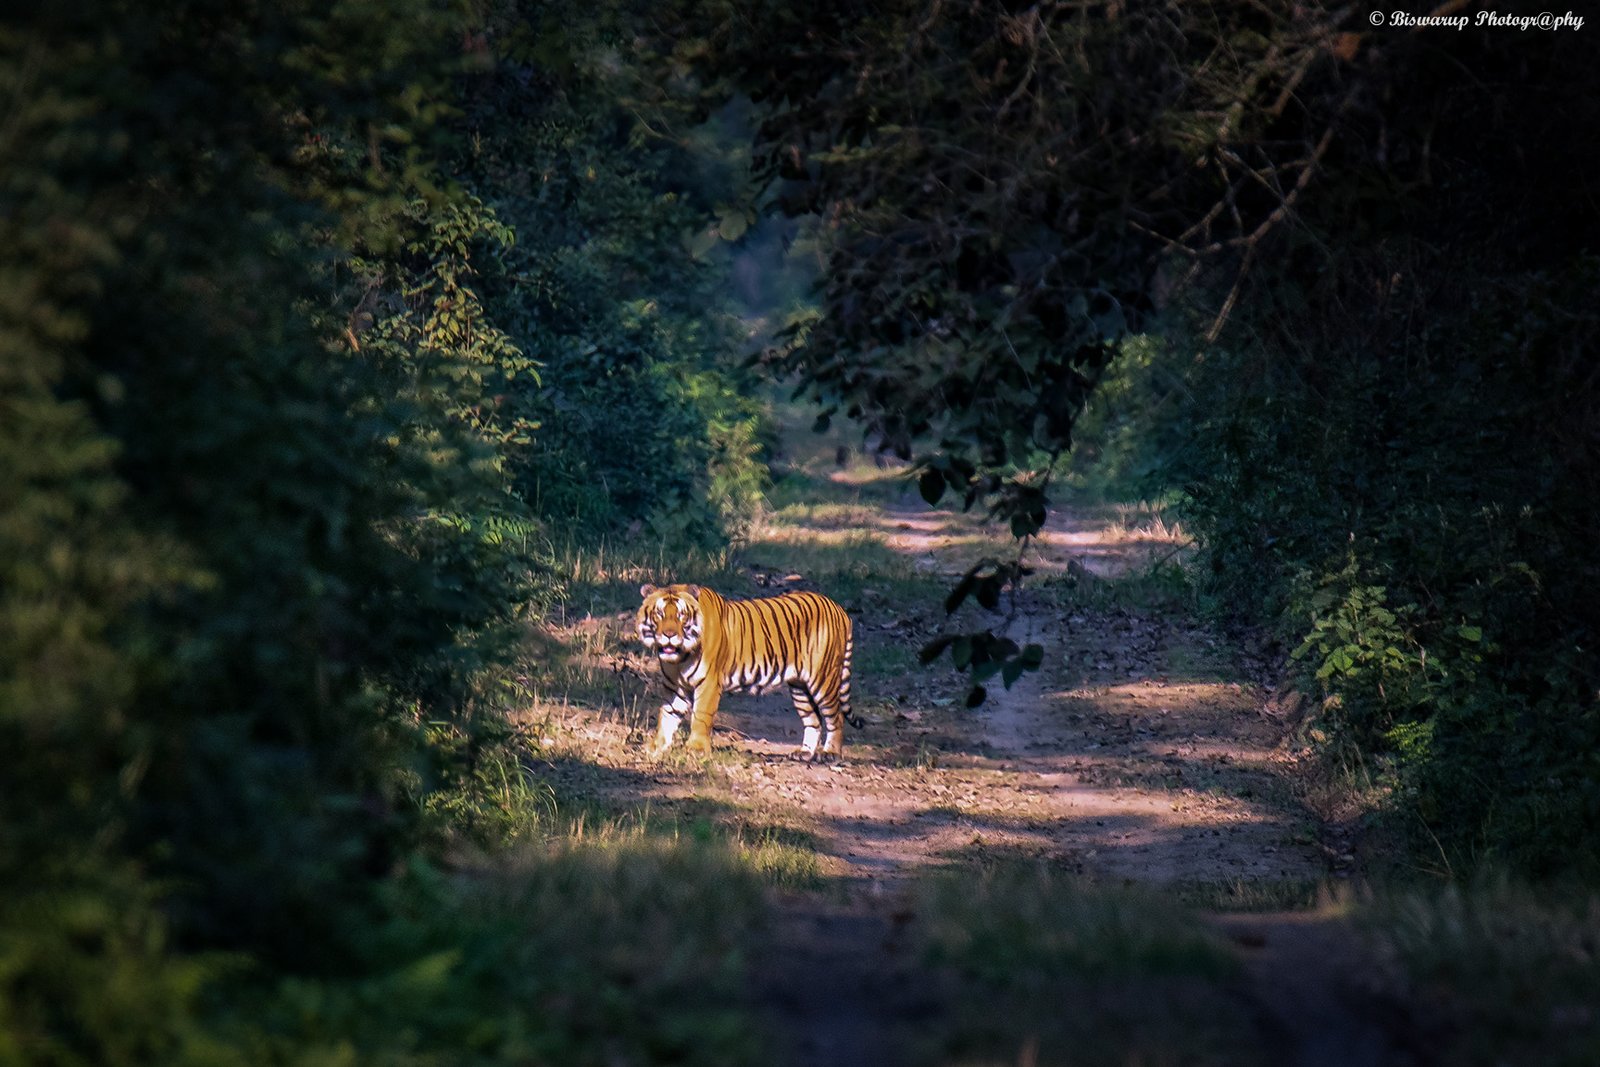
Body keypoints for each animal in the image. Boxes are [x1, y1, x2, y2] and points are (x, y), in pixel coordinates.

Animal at [636, 583, 862, 761]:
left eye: (681, 615)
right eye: (659, 613)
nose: (669, 635)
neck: (680, 658)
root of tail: (839, 609)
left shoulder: (709, 683)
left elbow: (701, 716)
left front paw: (696, 749)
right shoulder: (675, 686)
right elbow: (667, 716)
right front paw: (656, 747)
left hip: (823, 679)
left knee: (835, 717)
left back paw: (831, 753)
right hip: (800, 687)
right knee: (813, 719)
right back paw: (805, 753)